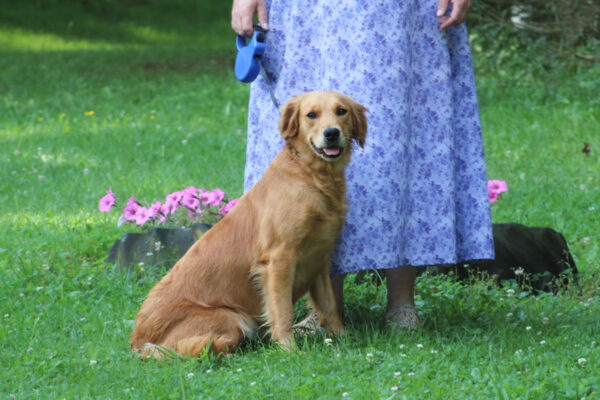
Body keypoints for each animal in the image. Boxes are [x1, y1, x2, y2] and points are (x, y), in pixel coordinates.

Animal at [129, 91, 368, 360]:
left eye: (341, 111)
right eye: (311, 114)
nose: (332, 133)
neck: (311, 175)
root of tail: (138, 338)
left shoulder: (320, 259)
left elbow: (330, 307)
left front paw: (342, 340)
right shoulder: (279, 260)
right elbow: (282, 312)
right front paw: (289, 349)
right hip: (231, 317)